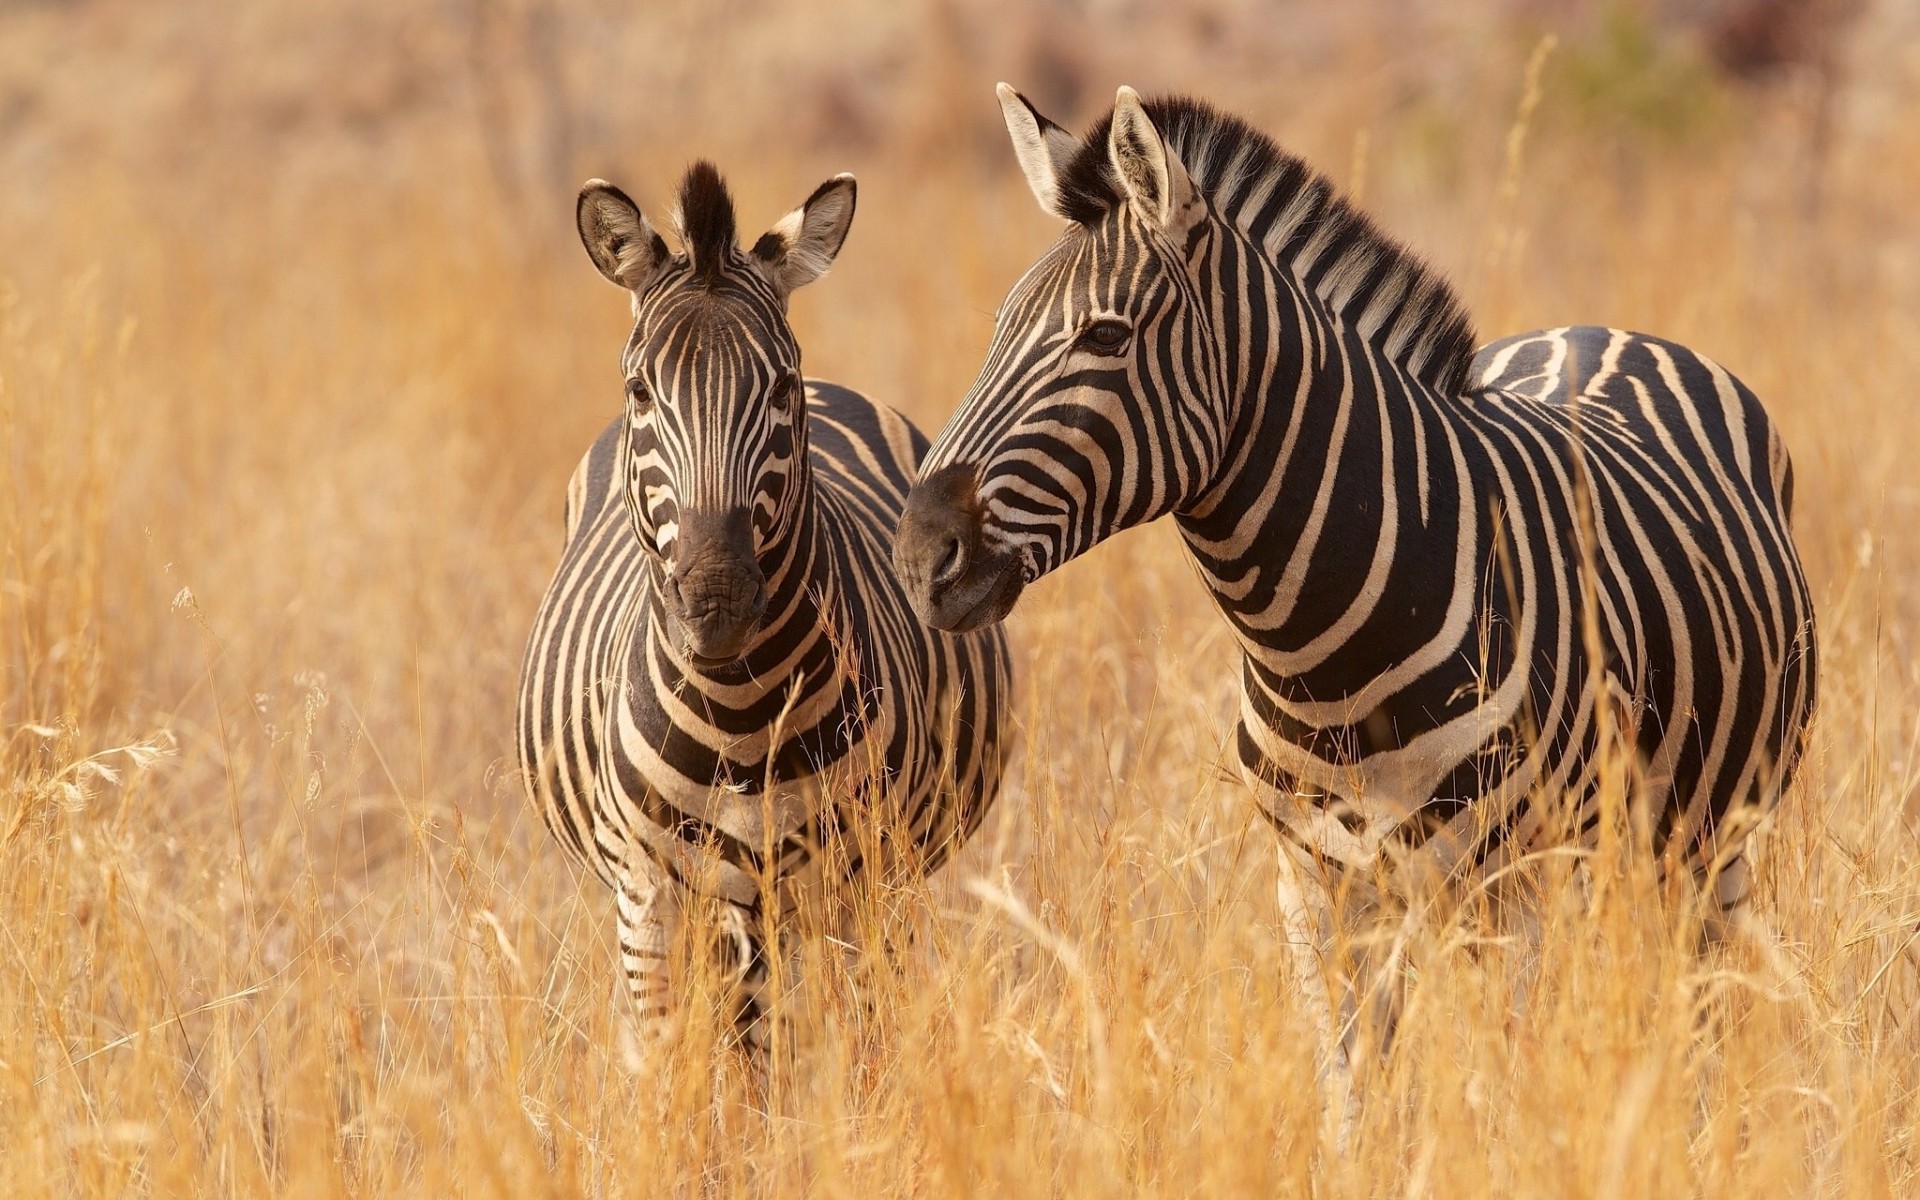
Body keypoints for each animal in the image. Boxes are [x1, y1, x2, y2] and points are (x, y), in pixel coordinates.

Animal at [519, 161, 1011, 1053]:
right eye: (640, 390)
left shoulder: (865, 883)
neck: (742, 714)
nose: (715, 598)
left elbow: (859, 1056)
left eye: (779, 388)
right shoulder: (649, 900)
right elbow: (678, 1066)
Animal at [892, 85, 1816, 1098]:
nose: (920, 554)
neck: (1326, 652)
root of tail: (1603, 330)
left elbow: (1497, 1091)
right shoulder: (1316, 889)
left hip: (1703, 842)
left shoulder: (1511, 886)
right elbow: (1353, 1094)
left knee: (1702, 1007)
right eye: (995, 331)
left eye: (1104, 335)